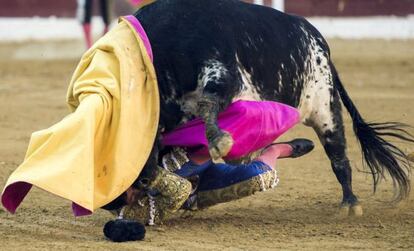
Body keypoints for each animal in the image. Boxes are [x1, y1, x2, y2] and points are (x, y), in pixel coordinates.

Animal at [134, 0, 412, 216]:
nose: (143, 181)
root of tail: (320, 42)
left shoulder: (224, 76)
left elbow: (208, 103)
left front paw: (219, 142)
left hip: (325, 108)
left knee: (338, 156)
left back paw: (350, 204)